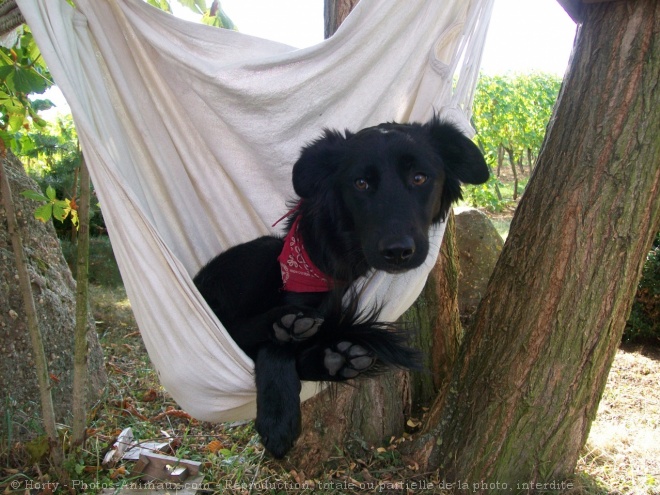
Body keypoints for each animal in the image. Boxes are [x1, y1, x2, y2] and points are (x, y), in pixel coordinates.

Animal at [193, 118, 488, 460]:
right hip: (263, 253)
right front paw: (277, 417)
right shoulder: (296, 282)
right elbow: (273, 348)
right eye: (360, 184)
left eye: (419, 178)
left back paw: (337, 359)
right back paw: (287, 326)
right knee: (242, 329)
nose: (397, 251)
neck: (348, 251)